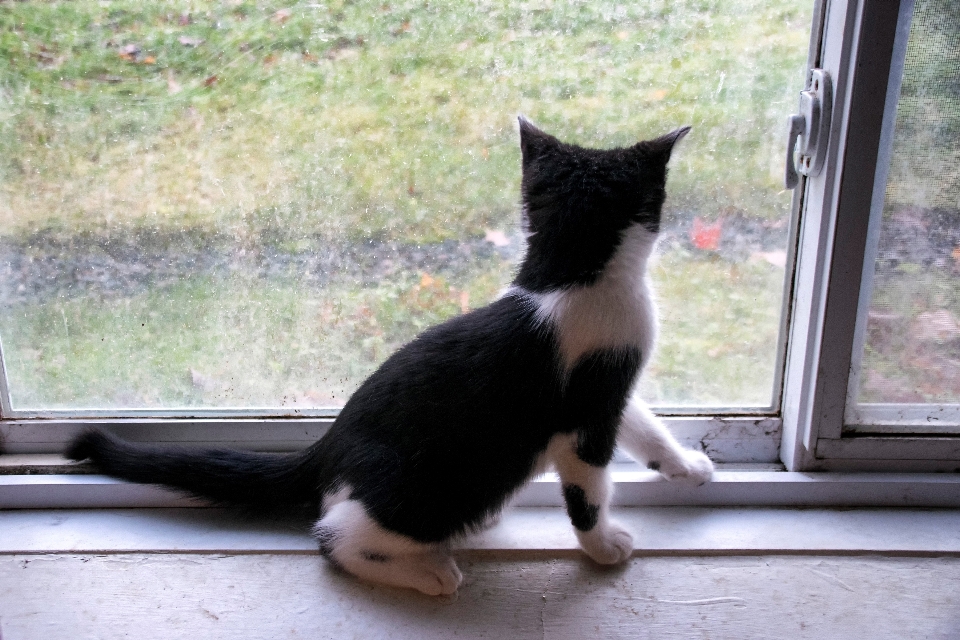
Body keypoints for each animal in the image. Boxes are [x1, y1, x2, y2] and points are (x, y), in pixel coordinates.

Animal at [65, 117, 712, 596]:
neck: (568, 274)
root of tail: (327, 447)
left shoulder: (611, 380)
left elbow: (644, 425)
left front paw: (685, 465)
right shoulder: (584, 413)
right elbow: (588, 488)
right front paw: (604, 546)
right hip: (426, 486)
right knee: (335, 535)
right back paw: (428, 572)